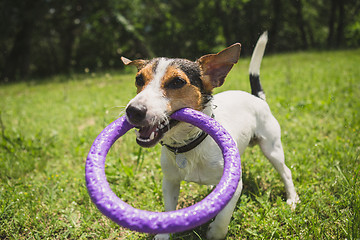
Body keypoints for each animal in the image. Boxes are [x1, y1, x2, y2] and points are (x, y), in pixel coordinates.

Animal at [121, 32, 298, 240]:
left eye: (177, 82)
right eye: (139, 79)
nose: (133, 110)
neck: (190, 144)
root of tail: (256, 97)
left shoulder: (235, 185)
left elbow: (223, 216)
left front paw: (215, 232)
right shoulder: (170, 182)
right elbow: (169, 208)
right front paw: (163, 234)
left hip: (272, 148)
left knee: (286, 172)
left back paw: (292, 199)